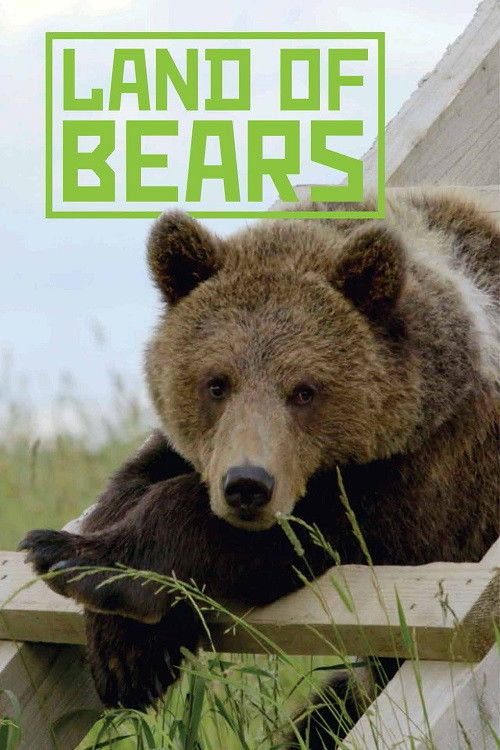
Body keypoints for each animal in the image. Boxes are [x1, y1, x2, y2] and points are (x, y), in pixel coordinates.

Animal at [20, 189, 499, 747]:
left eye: (305, 390)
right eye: (216, 383)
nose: (247, 486)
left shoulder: (432, 486)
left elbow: (305, 536)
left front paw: (75, 559)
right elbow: (137, 476)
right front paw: (126, 653)